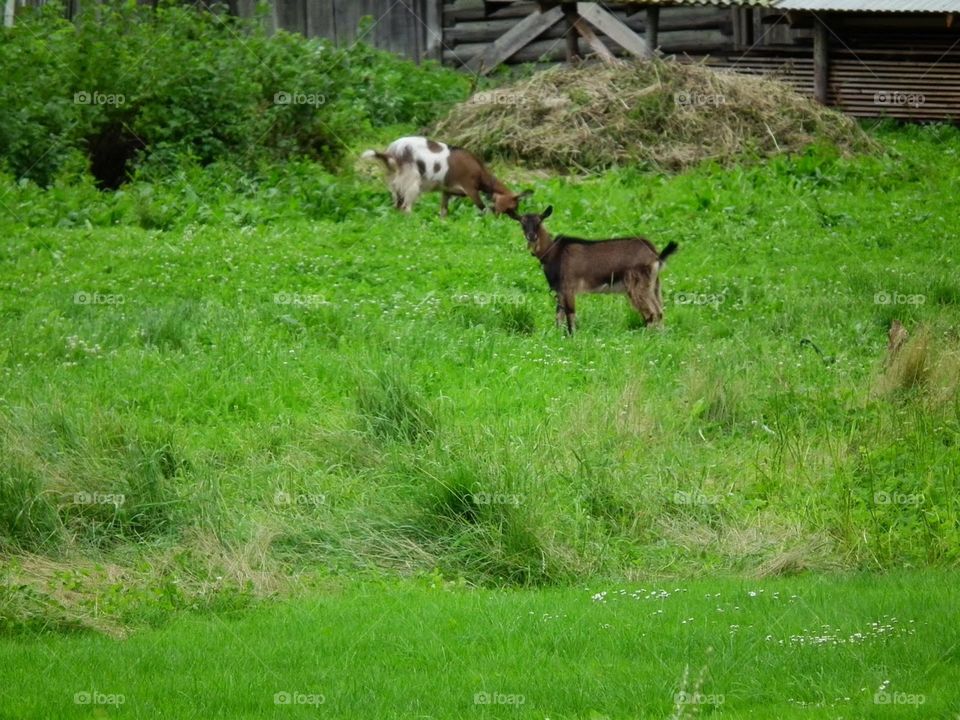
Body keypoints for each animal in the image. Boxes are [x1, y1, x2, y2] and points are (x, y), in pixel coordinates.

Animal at [362, 136, 530, 217]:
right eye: (513, 206)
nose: (518, 218)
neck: (479, 171)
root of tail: (391, 152)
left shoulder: (446, 191)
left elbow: (443, 211)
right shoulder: (470, 188)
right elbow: (482, 208)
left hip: (395, 183)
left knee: (397, 206)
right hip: (412, 180)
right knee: (405, 207)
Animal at [515, 206, 678, 334]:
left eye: (539, 221)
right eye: (522, 224)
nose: (531, 236)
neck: (554, 252)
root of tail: (656, 255)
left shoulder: (568, 287)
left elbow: (570, 314)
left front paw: (572, 337)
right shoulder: (559, 291)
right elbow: (558, 316)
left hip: (637, 285)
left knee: (651, 313)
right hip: (654, 285)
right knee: (660, 311)